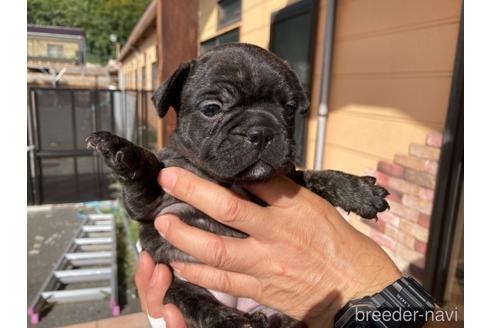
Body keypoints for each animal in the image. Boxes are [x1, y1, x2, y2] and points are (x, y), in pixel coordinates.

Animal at [87, 43, 388, 328]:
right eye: (211, 109)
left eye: (289, 109)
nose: (262, 131)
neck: (233, 183)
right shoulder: (153, 205)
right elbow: (145, 175)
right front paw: (123, 149)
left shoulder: (289, 178)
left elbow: (316, 177)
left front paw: (359, 191)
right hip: (177, 285)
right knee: (203, 306)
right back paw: (239, 322)